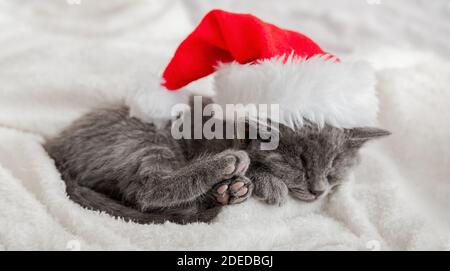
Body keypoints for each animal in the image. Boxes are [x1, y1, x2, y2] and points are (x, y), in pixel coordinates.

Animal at [46, 100, 390, 225]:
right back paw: (226, 168)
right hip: (144, 139)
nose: (318, 190)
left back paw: (227, 192)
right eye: (300, 166)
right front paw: (270, 182)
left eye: (333, 168)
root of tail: (53, 147)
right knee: (144, 189)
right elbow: (255, 161)